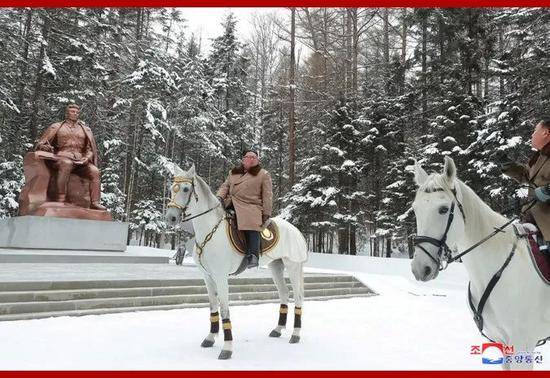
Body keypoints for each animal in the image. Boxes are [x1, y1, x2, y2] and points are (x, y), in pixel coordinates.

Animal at [164, 164, 310, 358]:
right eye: (172, 188)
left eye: (186, 189)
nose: (171, 217)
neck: (210, 230)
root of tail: (295, 230)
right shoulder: (207, 277)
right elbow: (213, 307)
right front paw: (210, 338)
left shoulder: (220, 277)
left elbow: (224, 309)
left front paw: (227, 348)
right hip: (275, 266)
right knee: (284, 294)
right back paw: (278, 329)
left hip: (292, 265)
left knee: (298, 297)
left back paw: (295, 334)